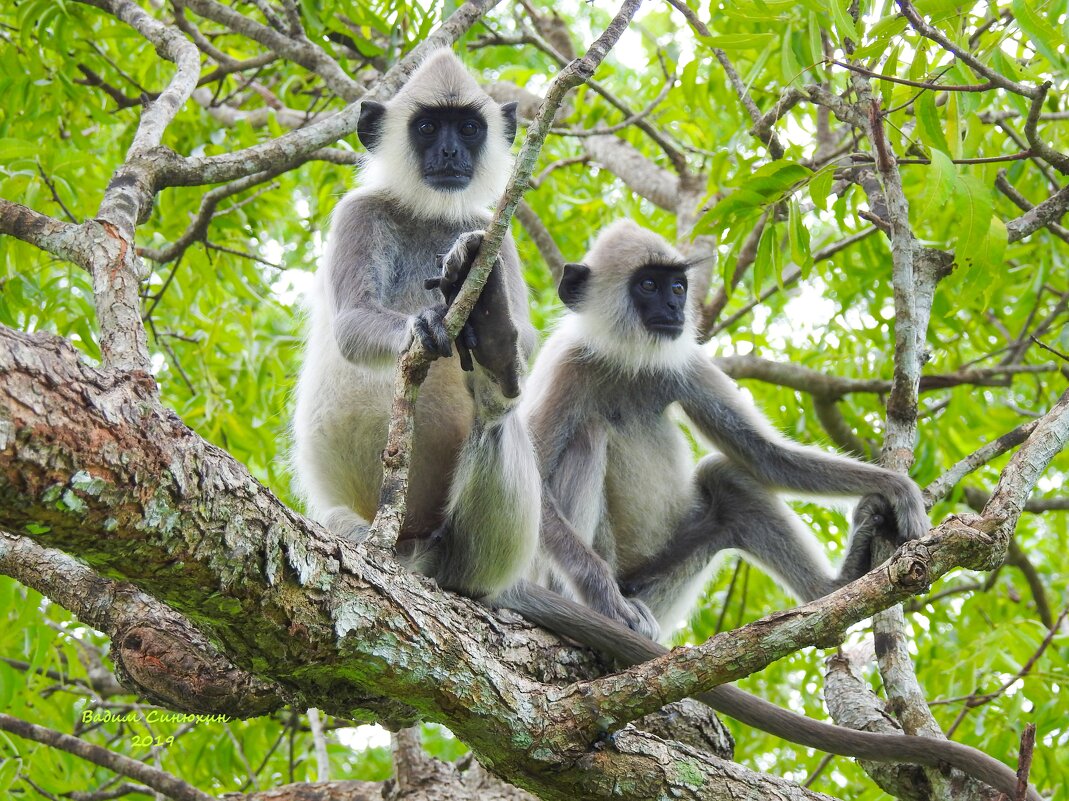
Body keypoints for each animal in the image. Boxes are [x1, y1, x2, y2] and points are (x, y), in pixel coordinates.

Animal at [290, 49, 538, 598]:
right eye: (427, 128)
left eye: (468, 128)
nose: (449, 152)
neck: (430, 213)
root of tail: (407, 552)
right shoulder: (358, 213)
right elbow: (351, 325)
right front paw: (423, 325)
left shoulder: (492, 231)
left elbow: (529, 341)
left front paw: (494, 326)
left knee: (497, 420)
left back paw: (493, 355)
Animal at [493, 220, 1043, 799]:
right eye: (647, 285)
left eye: (677, 286)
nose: (674, 304)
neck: (628, 360)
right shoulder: (568, 368)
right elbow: (533, 484)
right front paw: (605, 602)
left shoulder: (686, 362)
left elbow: (763, 455)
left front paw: (896, 488)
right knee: (588, 437)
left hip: (666, 580)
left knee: (728, 478)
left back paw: (834, 588)